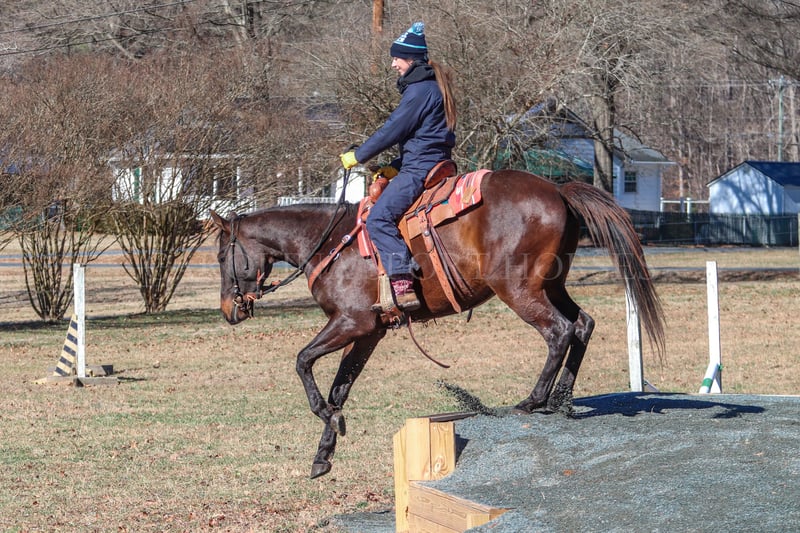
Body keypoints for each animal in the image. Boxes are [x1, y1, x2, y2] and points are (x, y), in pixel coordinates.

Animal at [210, 169, 665, 479]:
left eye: (219, 255)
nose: (229, 310)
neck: (329, 243)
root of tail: (557, 191)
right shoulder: (369, 333)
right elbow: (341, 386)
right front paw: (325, 450)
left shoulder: (352, 323)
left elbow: (303, 361)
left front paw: (326, 419)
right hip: (550, 285)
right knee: (583, 324)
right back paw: (562, 399)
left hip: (519, 289)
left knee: (559, 331)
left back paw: (534, 400)